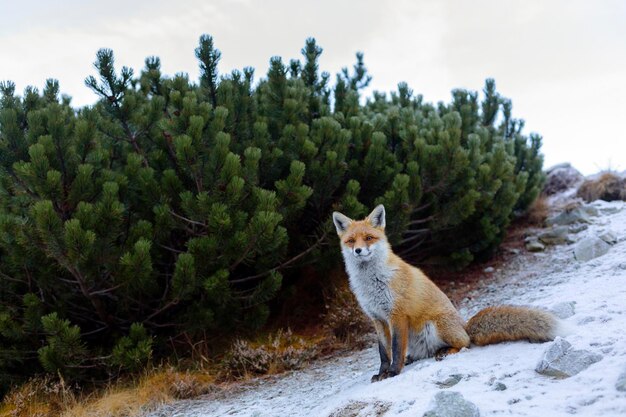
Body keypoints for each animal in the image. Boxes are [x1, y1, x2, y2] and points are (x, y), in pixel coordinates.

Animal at [332, 203, 560, 382]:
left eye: (368, 238)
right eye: (351, 241)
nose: (358, 251)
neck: (372, 283)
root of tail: (465, 326)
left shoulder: (397, 315)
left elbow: (396, 348)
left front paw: (394, 372)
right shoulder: (377, 319)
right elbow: (383, 352)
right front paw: (382, 373)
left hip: (436, 325)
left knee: (465, 343)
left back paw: (446, 351)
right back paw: (415, 357)